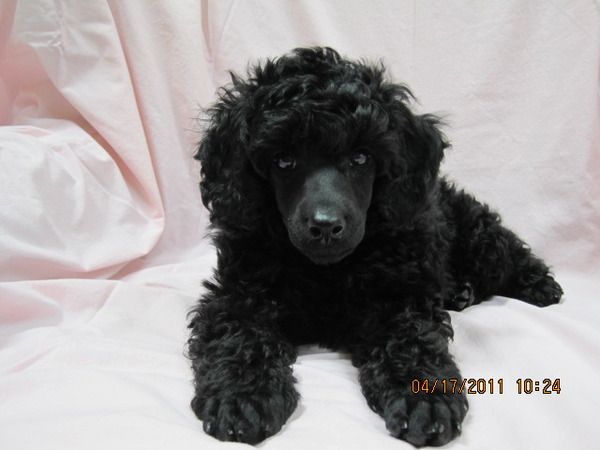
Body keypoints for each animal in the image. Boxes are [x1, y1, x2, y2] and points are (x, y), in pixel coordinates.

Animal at [187, 47, 562, 447]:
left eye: (361, 158)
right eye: (283, 160)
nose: (325, 226)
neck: (326, 272)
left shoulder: (398, 295)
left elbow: (410, 340)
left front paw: (423, 399)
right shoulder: (238, 294)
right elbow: (237, 335)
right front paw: (243, 395)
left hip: (476, 235)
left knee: (506, 251)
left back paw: (539, 285)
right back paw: (461, 291)